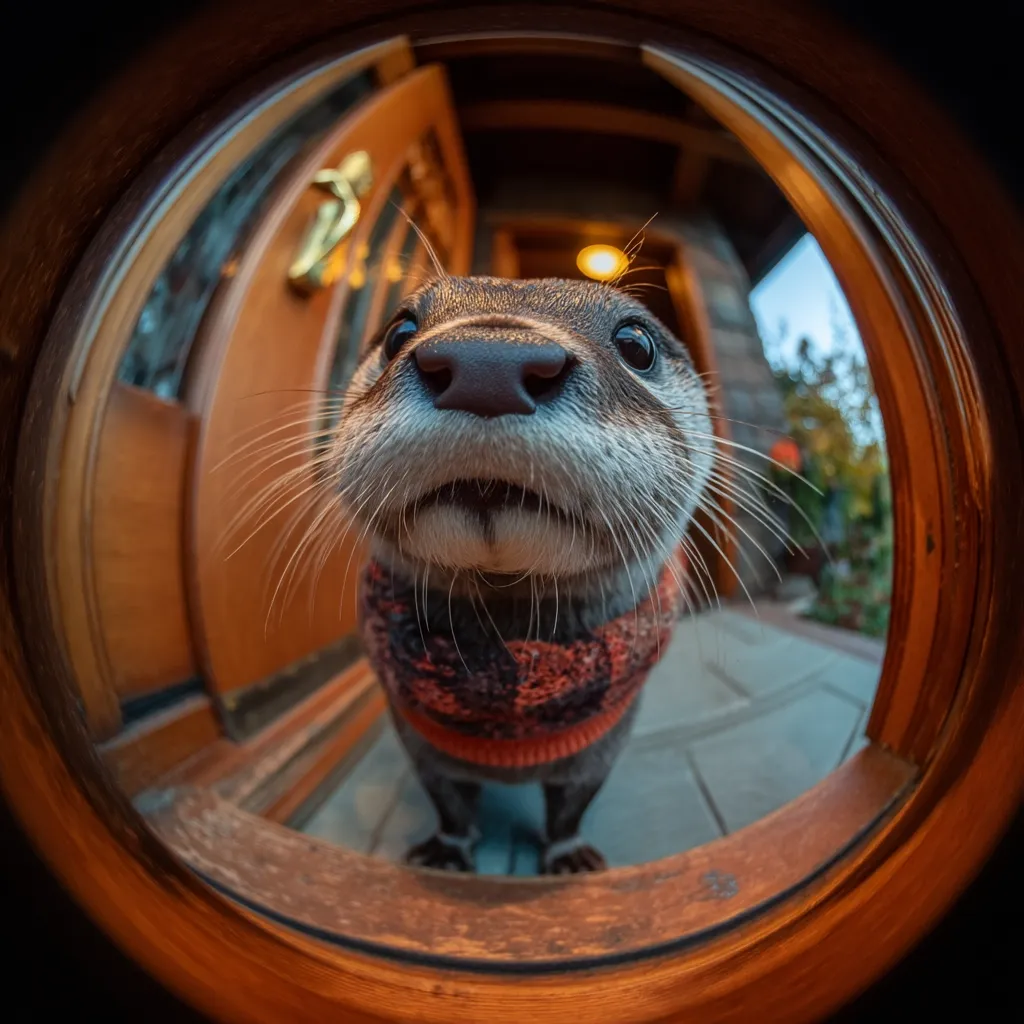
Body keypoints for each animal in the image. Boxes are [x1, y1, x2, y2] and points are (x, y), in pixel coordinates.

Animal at [330, 274, 715, 874]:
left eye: (636, 343)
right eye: (398, 331)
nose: (488, 362)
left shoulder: (602, 747)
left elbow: (573, 806)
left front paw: (568, 856)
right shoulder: (419, 743)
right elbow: (447, 801)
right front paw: (446, 851)